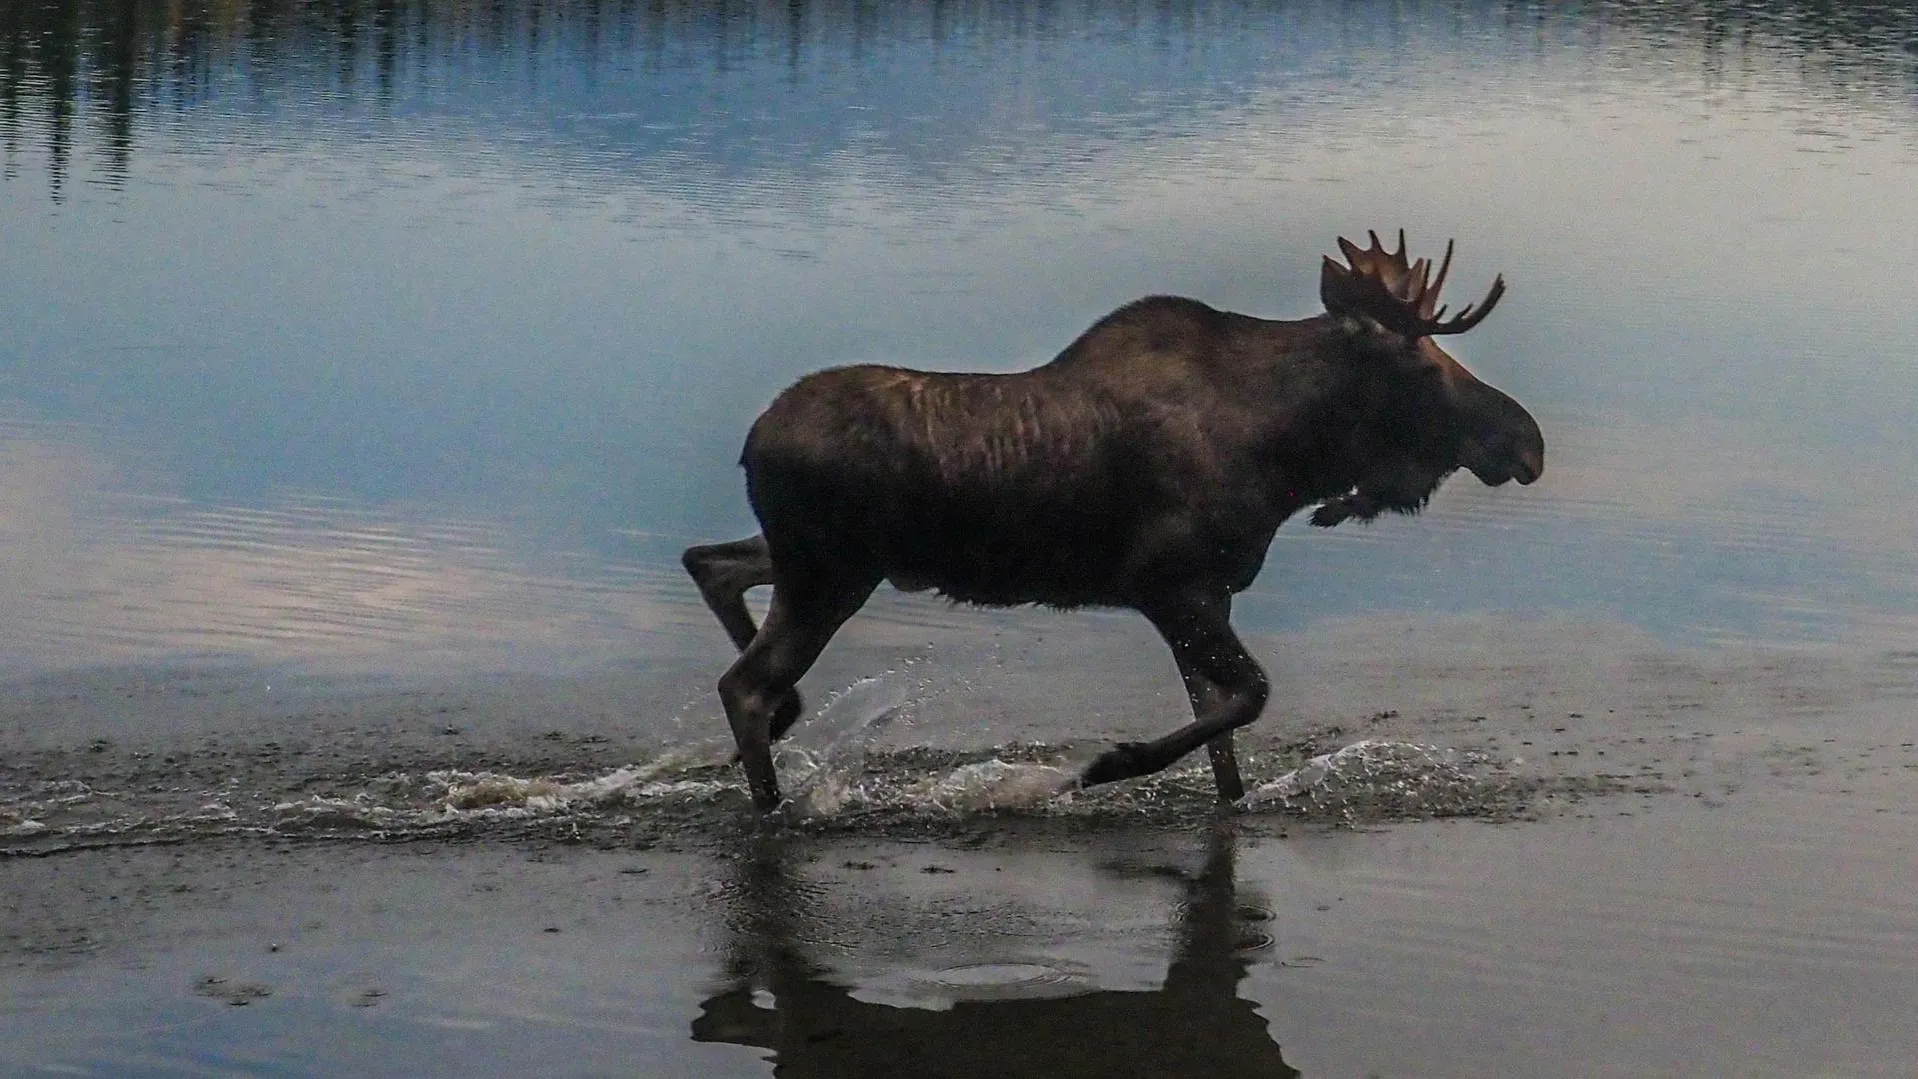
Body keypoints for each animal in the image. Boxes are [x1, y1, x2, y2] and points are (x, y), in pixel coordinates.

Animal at [682, 228, 1534, 812]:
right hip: (830, 573)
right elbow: (1251, 695)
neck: (1287, 456)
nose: (1529, 440)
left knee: (710, 563)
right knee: (742, 683)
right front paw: (1107, 764)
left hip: (817, 561)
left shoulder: (1209, 595)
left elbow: (1224, 737)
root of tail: (750, 442)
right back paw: (773, 798)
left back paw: (786, 723)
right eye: (1423, 365)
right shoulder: (1168, 584)